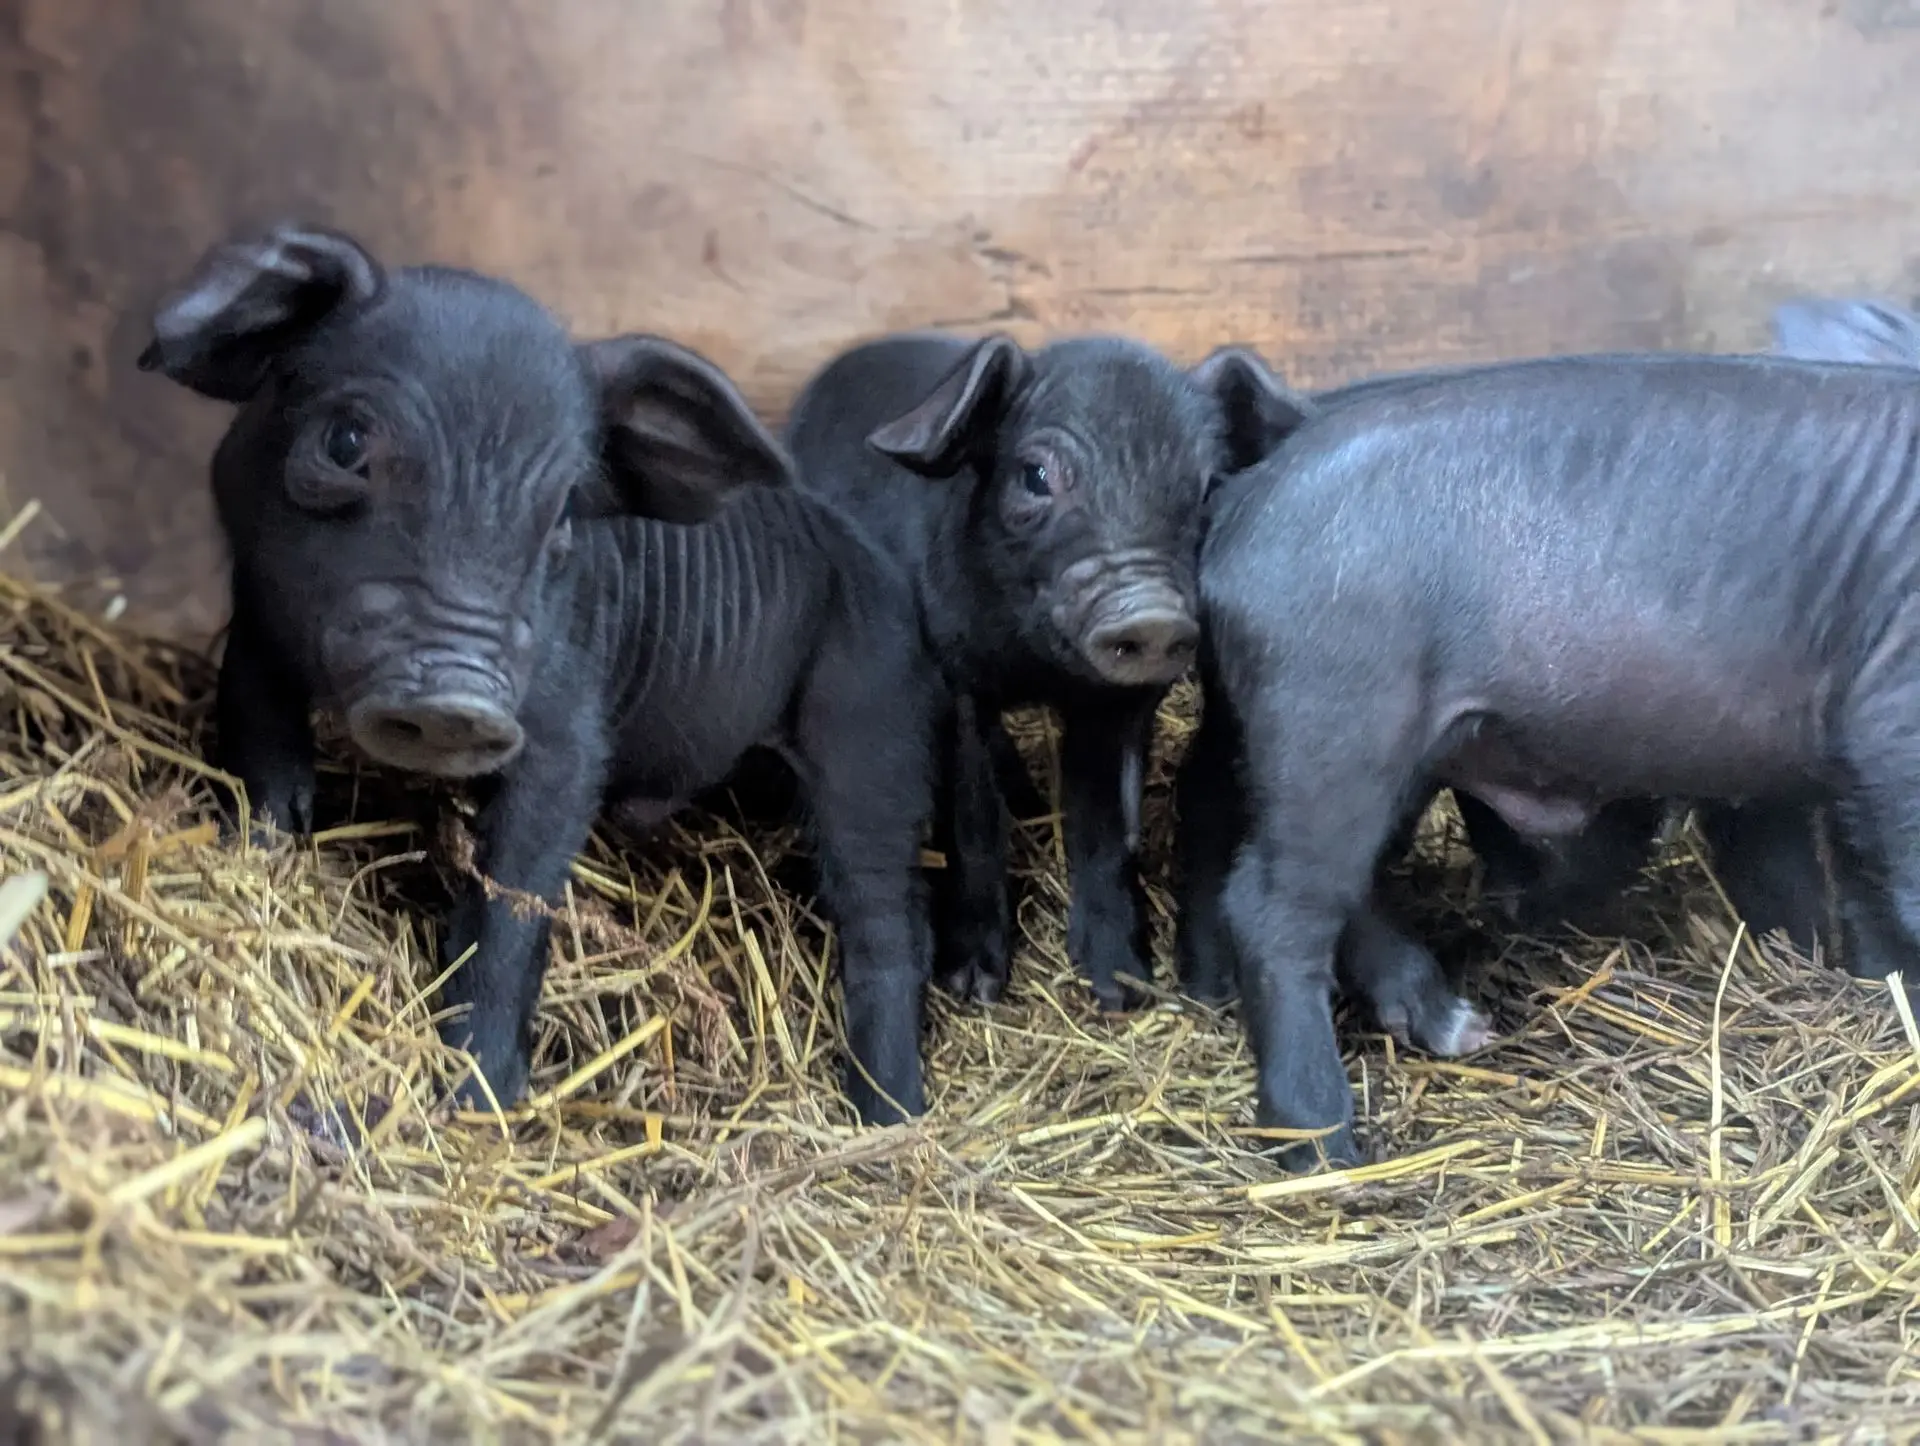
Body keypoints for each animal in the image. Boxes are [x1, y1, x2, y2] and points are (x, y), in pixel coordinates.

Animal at [136, 222, 941, 1124]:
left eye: (563, 509)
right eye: (344, 443)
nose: (457, 697)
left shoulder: (566, 729)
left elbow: (517, 891)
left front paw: (475, 1098)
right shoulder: (255, 614)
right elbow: (264, 752)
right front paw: (259, 853)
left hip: (871, 729)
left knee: (887, 913)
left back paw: (889, 1116)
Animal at [783, 332, 1306, 1012]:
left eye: (1209, 487)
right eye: (1035, 475)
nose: (1152, 617)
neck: (1039, 666)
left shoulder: (1116, 706)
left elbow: (1105, 823)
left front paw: (1122, 988)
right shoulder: (954, 677)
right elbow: (974, 817)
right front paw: (974, 987)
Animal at [1179, 325, 1920, 1168]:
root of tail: (1242, 504)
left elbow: (1846, 886)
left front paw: (1859, 979)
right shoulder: (1891, 710)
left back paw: (1455, 1027)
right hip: (1333, 710)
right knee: (1273, 906)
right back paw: (1328, 1149)